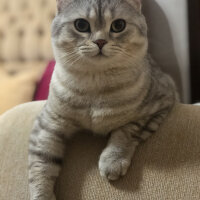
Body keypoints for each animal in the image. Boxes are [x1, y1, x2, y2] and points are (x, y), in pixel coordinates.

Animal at [27, 0, 178, 199]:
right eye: (81, 25)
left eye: (118, 25)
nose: (100, 41)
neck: (96, 85)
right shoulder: (48, 124)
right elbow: (40, 165)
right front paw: (42, 195)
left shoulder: (161, 102)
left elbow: (126, 131)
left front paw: (112, 161)